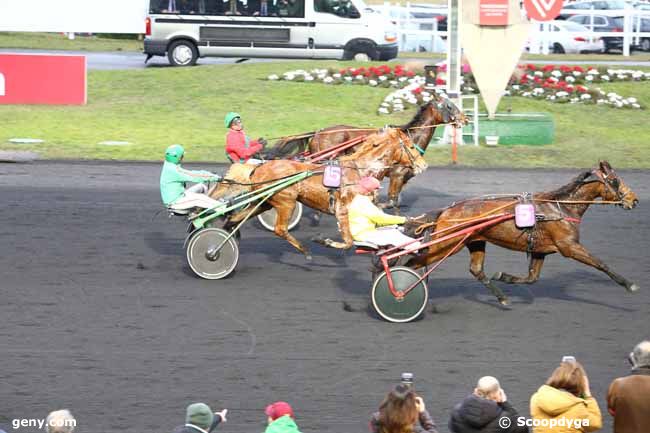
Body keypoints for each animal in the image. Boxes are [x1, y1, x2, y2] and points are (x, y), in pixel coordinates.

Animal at [213, 126, 426, 258]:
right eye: (409, 145)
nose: (423, 164)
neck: (360, 170)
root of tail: (257, 167)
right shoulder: (342, 210)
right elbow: (348, 241)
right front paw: (323, 240)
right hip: (286, 202)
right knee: (280, 229)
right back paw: (305, 250)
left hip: (265, 201)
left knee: (236, 217)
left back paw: (228, 231)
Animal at [258, 97, 466, 208]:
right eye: (449, 105)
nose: (465, 119)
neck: (409, 138)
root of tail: (318, 132)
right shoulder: (397, 175)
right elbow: (390, 202)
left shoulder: (403, 178)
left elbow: (396, 202)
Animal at [402, 160, 636, 306]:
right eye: (615, 180)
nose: (634, 200)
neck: (561, 207)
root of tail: (446, 210)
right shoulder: (569, 247)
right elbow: (601, 264)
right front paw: (629, 284)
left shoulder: (541, 250)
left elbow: (532, 278)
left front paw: (504, 276)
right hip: (446, 244)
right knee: (413, 263)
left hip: (474, 241)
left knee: (476, 269)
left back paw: (501, 298)